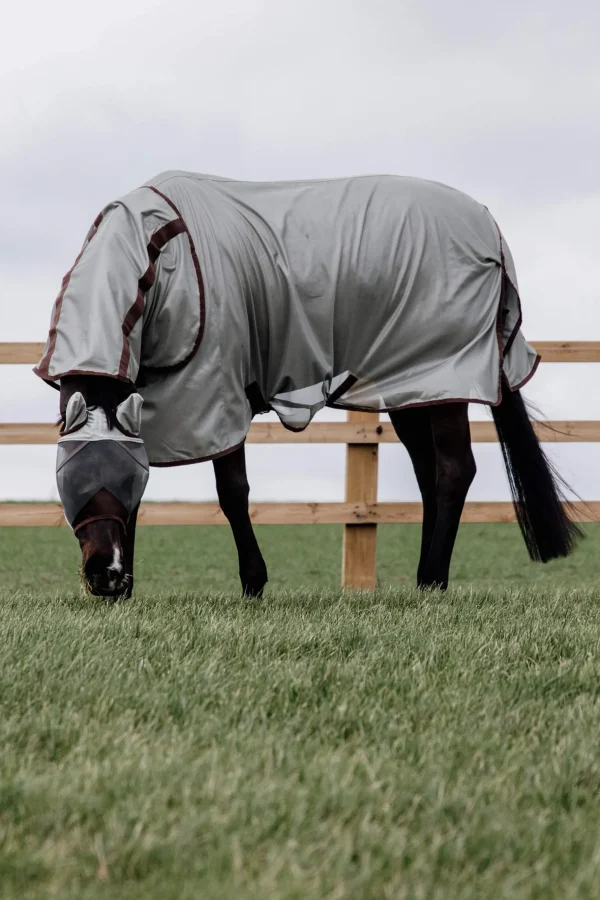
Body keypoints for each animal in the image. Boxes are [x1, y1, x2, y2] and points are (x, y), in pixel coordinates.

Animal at [35, 173, 580, 600]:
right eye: (71, 478)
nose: (105, 577)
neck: (163, 260)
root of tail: (489, 224)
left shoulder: (217, 391)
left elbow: (233, 492)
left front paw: (253, 583)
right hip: (413, 389)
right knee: (429, 474)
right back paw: (428, 581)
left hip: (446, 381)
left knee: (453, 471)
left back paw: (431, 581)